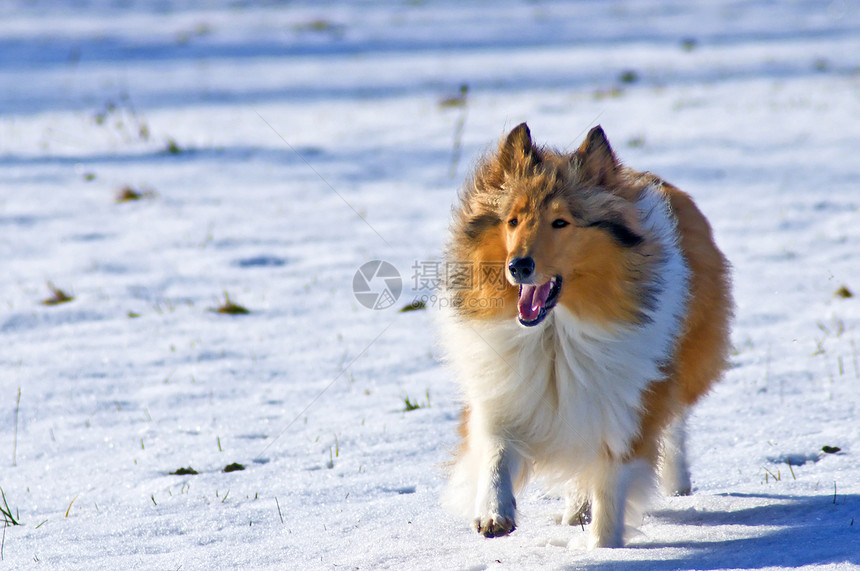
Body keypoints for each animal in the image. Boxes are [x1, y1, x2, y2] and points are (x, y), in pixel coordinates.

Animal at [444, 124, 732, 548]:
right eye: (513, 220)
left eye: (561, 222)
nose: (518, 266)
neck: (555, 336)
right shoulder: (507, 392)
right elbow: (496, 451)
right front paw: (494, 514)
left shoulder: (627, 407)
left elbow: (611, 485)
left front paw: (603, 547)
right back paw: (574, 510)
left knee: (676, 421)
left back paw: (676, 482)